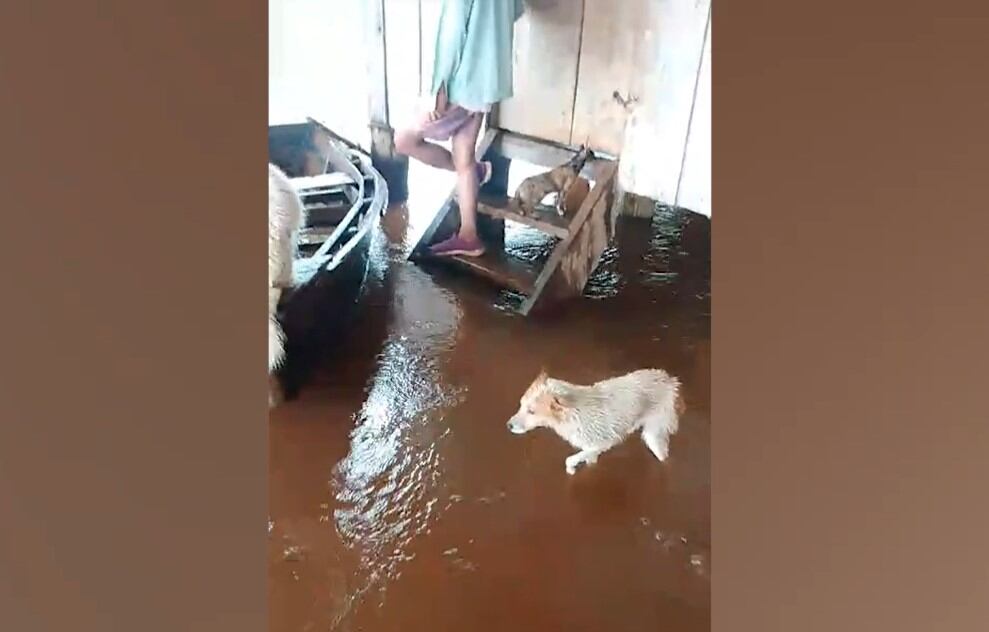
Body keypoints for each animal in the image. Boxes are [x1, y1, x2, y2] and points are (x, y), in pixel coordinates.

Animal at [506, 370, 684, 474]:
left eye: (531, 411)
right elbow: (588, 459)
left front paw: (571, 468)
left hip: (653, 435)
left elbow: (570, 459)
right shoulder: (591, 449)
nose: (509, 426)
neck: (572, 411)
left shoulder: (603, 443)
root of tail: (670, 379)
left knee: (664, 456)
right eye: (521, 404)